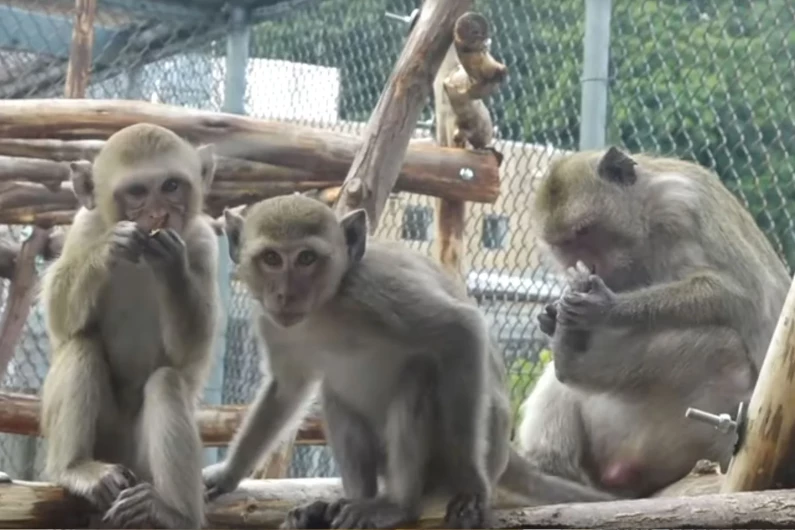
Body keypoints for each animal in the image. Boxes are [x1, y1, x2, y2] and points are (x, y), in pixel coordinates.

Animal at [39, 123, 222, 529]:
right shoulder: (84, 227)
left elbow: (190, 356)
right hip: (105, 443)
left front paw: (172, 265)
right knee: (82, 344)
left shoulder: (203, 243)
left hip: (141, 464)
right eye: (138, 191)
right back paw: (76, 468)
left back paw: (172, 513)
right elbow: (61, 321)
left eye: (171, 186)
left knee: (167, 382)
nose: (159, 214)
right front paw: (109, 248)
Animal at [200, 194, 615, 530]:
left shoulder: (374, 291)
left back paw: (398, 504)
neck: (326, 306)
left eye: (306, 258)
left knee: (419, 375)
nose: (286, 294)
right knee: (336, 395)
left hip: (457, 457)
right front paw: (228, 475)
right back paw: (349, 501)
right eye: (271, 258)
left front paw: (470, 486)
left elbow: (460, 331)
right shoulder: (273, 324)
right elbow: (286, 388)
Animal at [514, 146, 790, 499]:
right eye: (563, 244)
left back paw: (572, 361)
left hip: (689, 435)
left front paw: (604, 307)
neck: (644, 213)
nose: (583, 263)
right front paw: (550, 316)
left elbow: (733, 293)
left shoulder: (680, 209)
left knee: (723, 348)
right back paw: (550, 465)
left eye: (585, 231)